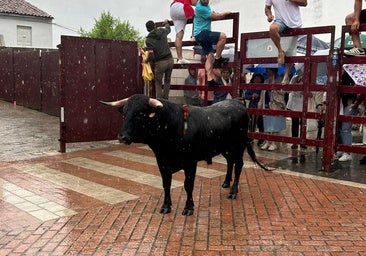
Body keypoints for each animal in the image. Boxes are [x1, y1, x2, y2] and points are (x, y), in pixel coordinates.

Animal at [100, 94, 268, 216]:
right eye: (124, 114)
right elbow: (166, 184)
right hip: (225, 148)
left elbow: (188, 185)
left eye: (140, 114)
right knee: (230, 162)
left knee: (238, 165)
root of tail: (238, 103)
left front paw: (189, 208)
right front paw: (166, 206)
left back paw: (233, 191)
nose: (122, 137)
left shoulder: (190, 163)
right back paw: (226, 182)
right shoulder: (162, 162)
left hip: (238, 147)